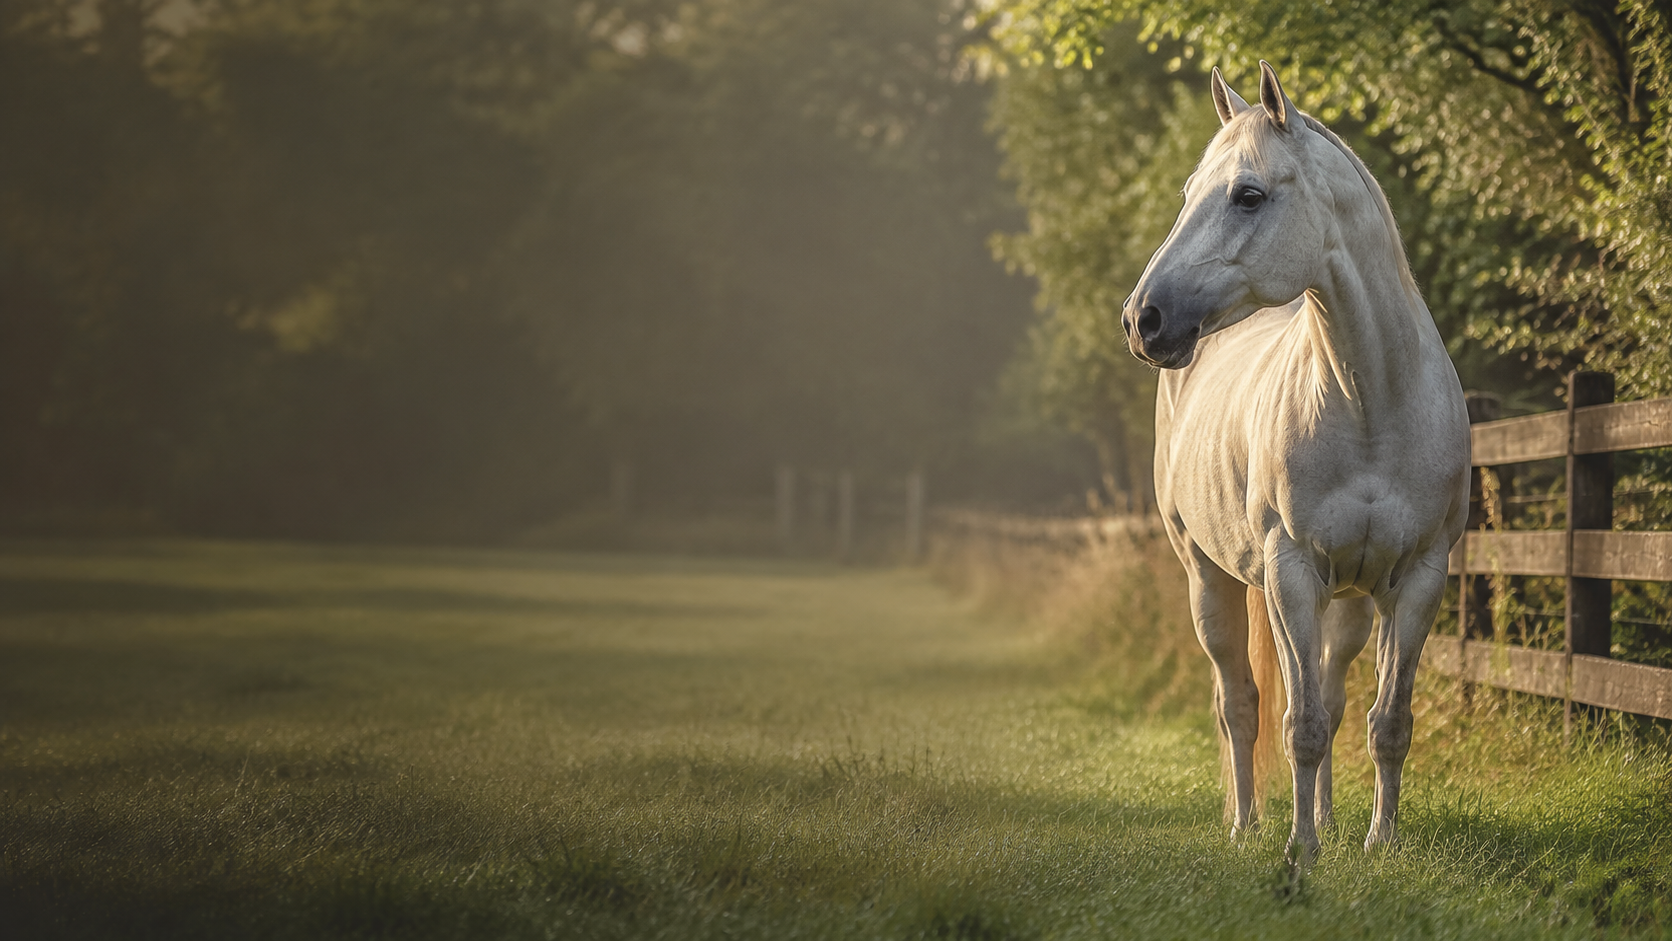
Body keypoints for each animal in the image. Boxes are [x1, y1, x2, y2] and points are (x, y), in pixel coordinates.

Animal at [1121, 62, 1470, 860]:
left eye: (1248, 194)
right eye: (1188, 193)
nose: (1143, 319)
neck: (1371, 403)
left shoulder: (1418, 580)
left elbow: (1384, 722)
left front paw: (1378, 844)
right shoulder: (1290, 574)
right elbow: (1299, 724)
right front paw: (1299, 851)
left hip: (1349, 601)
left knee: (1335, 699)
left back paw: (1335, 822)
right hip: (1211, 580)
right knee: (1240, 703)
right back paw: (1248, 824)